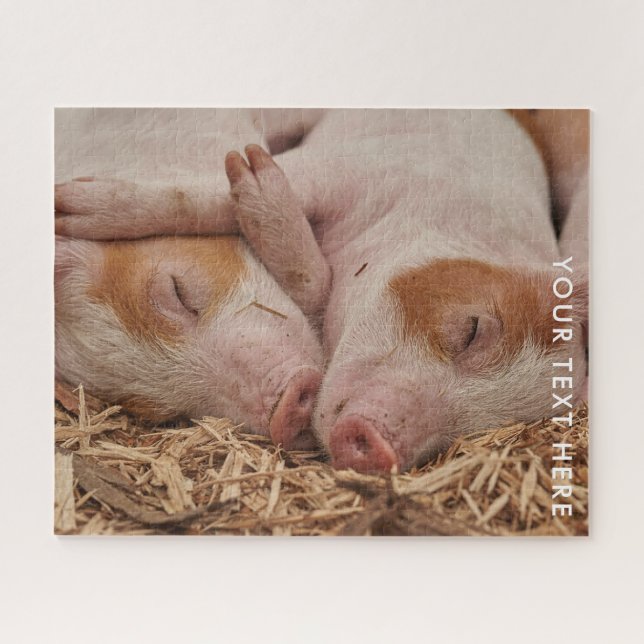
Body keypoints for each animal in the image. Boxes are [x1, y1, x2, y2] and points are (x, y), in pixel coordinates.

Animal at [56, 109, 589, 473]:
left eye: (466, 435)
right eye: (473, 330)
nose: (378, 449)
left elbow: (313, 284)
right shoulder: (354, 168)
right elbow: (204, 195)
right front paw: (66, 207)